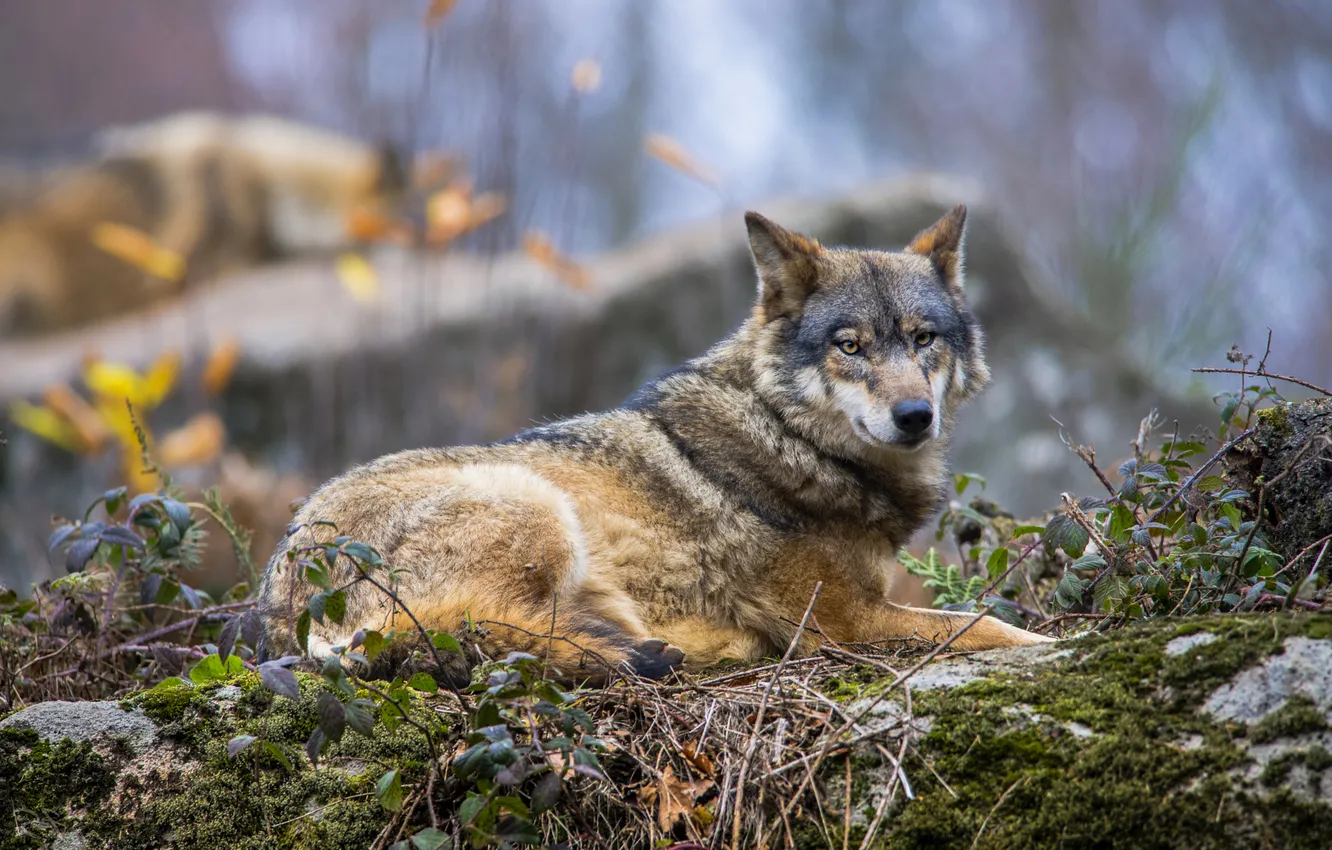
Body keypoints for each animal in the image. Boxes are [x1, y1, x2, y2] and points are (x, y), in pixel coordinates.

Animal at [257, 205, 1052, 683]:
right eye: (850, 346)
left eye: (924, 340)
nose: (915, 416)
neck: (791, 437)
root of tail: (285, 613)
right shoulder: (841, 622)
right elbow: (984, 622)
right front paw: (1057, 645)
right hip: (535, 507)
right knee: (503, 631)